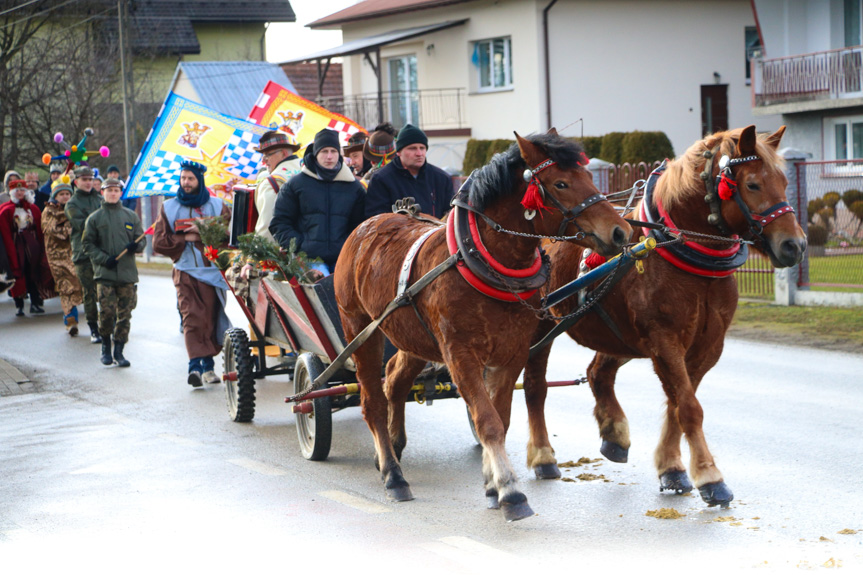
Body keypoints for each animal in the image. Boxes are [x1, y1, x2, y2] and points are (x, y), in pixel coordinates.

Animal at [338, 130, 636, 520]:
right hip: (361, 331)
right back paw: (393, 474)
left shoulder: (510, 354)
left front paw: (493, 484)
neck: (481, 263)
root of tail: (366, 225)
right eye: (560, 183)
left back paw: (393, 445)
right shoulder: (460, 355)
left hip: (413, 338)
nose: (621, 231)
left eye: (589, 176)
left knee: (396, 382)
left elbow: (501, 418)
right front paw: (510, 491)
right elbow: (488, 421)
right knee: (373, 400)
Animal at [520, 126, 808, 508]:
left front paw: (672, 469)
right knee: (535, 387)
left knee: (598, 373)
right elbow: (688, 407)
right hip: (541, 327)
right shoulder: (664, 340)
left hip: (619, 335)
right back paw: (543, 455)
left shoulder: (706, 346)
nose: (795, 245)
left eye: (784, 181)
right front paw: (710, 477)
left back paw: (614, 433)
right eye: (753, 184)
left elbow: (677, 404)